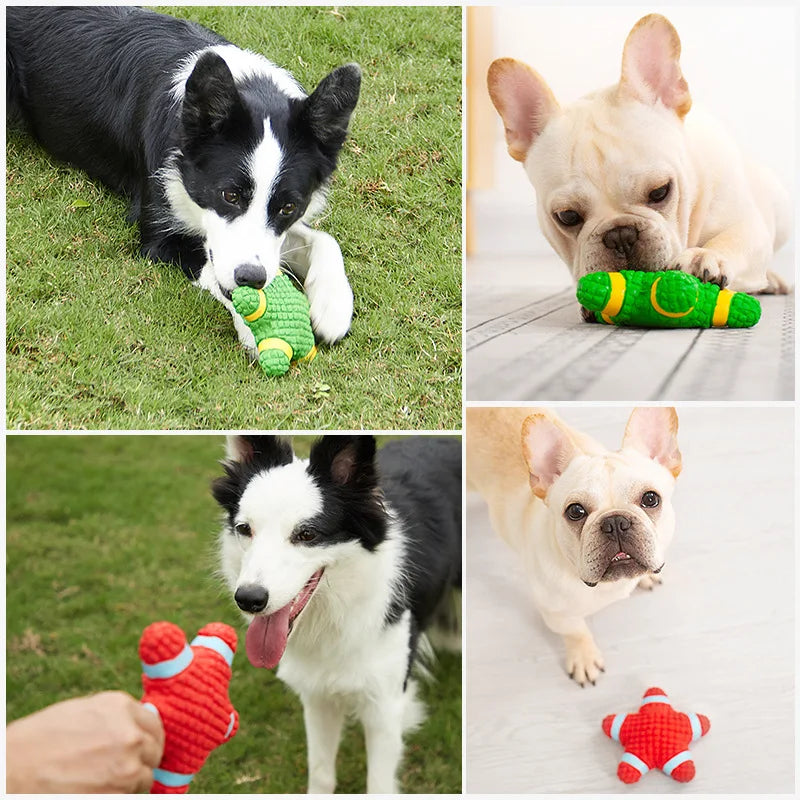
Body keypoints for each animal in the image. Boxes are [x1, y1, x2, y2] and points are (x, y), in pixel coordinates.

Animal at [7, 5, 360, 350]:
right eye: (229, 195)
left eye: (288, 207)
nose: (252, 278)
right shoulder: (159, 233)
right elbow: (211, 268)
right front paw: (255, 327)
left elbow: (324, 240)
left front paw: (333, 304)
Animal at [212, 438, 462, 792]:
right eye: (244, 529)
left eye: (307, 535)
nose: (248, 599)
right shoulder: (317, 697)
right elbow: (321, 772)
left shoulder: (385, 706)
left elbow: (378, 784)